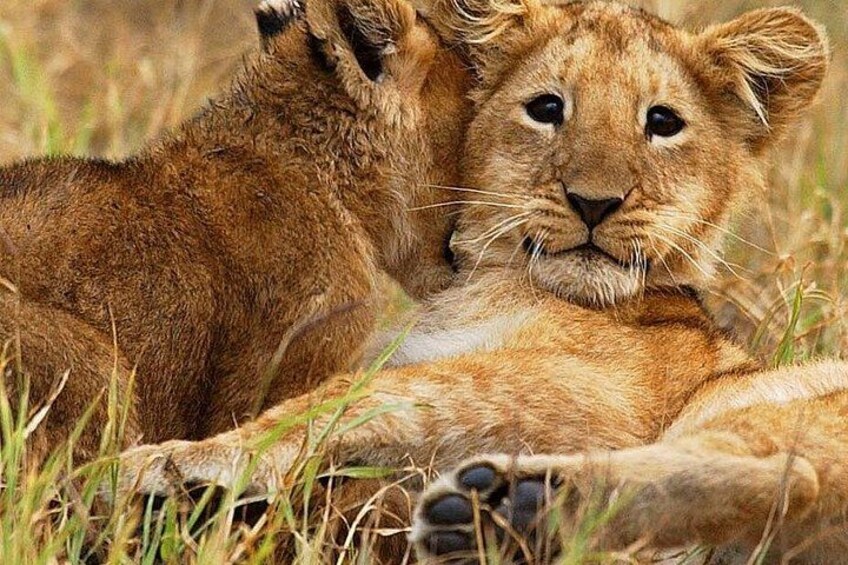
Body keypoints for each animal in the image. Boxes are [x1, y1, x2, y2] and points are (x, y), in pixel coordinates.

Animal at [115, 1, 836, 562]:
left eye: (662, 122)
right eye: (547, 108)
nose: (594, 202)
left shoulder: (600, 391)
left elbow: (359, 393)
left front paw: (179, 461)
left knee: (792, 476)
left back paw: (506, 508)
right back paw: (503, 514)